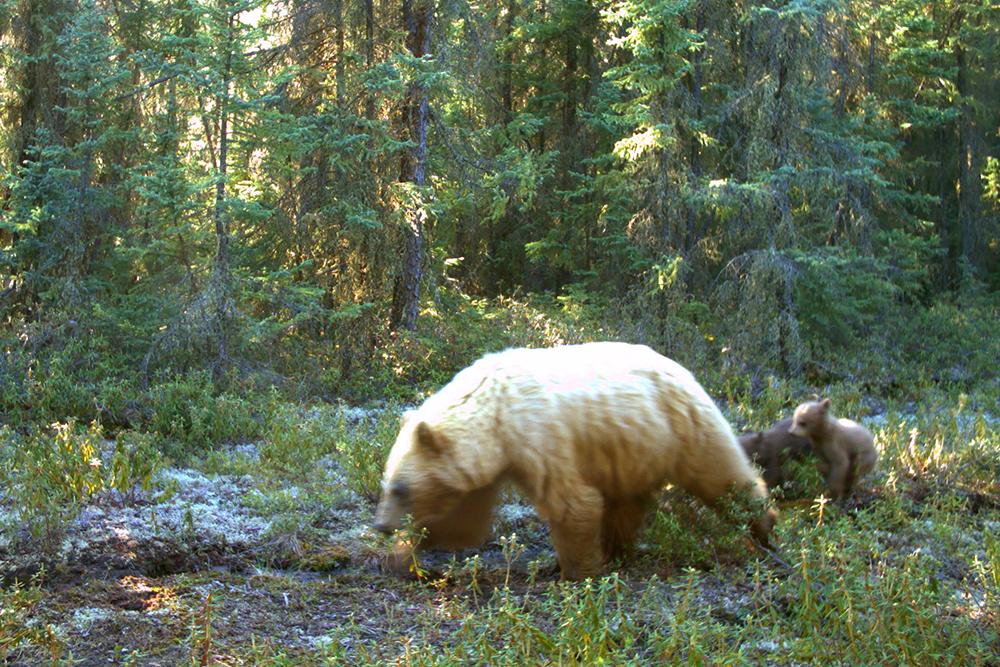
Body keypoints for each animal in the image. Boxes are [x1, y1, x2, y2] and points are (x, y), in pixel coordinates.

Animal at [373, 342, 776, 580]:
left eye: (400, 488)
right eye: (386, 484)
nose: (381, 526)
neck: (494, 413)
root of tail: (683, 370)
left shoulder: (539, 437)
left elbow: (572, 504)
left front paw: (574, 571)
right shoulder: (485, 465)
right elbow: (461, 521)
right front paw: (402, 556)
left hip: (684, 427)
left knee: (722, 477)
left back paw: (764, 527)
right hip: (634, 448)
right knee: (627, 504)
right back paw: (616, 551)